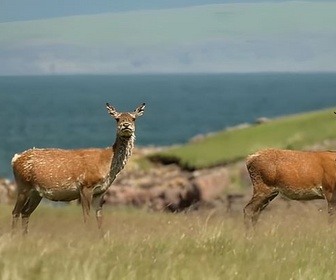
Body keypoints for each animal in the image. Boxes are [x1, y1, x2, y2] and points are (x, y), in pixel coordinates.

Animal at [11, 102, 145, 234]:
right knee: (15, 211)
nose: (126, 125)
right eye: (117, 118)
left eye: (133, 118)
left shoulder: (100, 192)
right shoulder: (86, 185)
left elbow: (100, 219)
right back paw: (14, 236)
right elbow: (86, 217)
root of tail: (15, 159)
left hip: (36, 192)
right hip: (23, 185)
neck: (106, 163)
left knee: (25, 212)